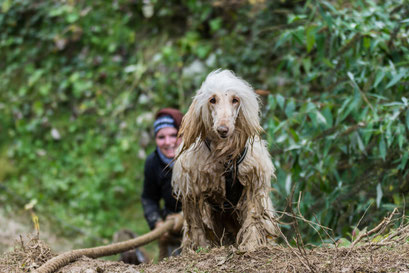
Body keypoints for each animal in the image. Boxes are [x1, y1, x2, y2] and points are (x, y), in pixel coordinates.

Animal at [171, 69, 278, 250]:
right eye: (212, 100)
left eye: (235, 100)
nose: (223, 129)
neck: (224, 153)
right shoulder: (192, 188)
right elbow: (196, 224)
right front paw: (201, 247)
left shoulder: (252, 182)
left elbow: (252, 217)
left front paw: (250, 244)